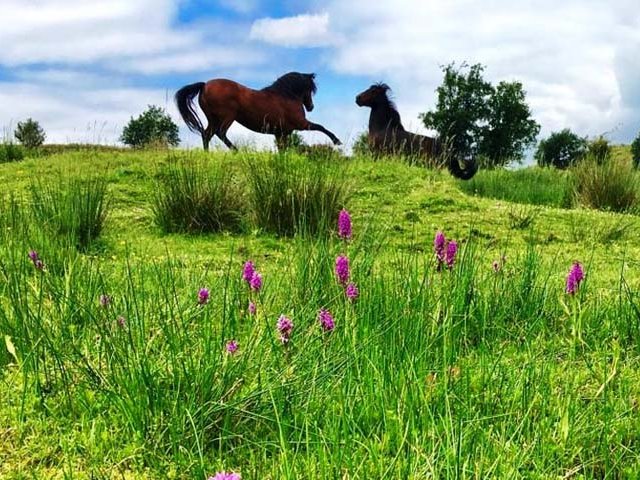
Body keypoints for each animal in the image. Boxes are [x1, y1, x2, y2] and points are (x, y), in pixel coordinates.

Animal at [175, 72, 342, 151]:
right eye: (310, 89)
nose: (310, 107)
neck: (286, 96)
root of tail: (204, 85)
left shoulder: (281, 133)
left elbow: (283, 148)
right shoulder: (301, 124)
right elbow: (321, 127)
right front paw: (337, 141)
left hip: (213, 119)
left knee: (206, 134)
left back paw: (207, 154)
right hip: (227, 117)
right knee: (220, 133)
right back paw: (237, 151)